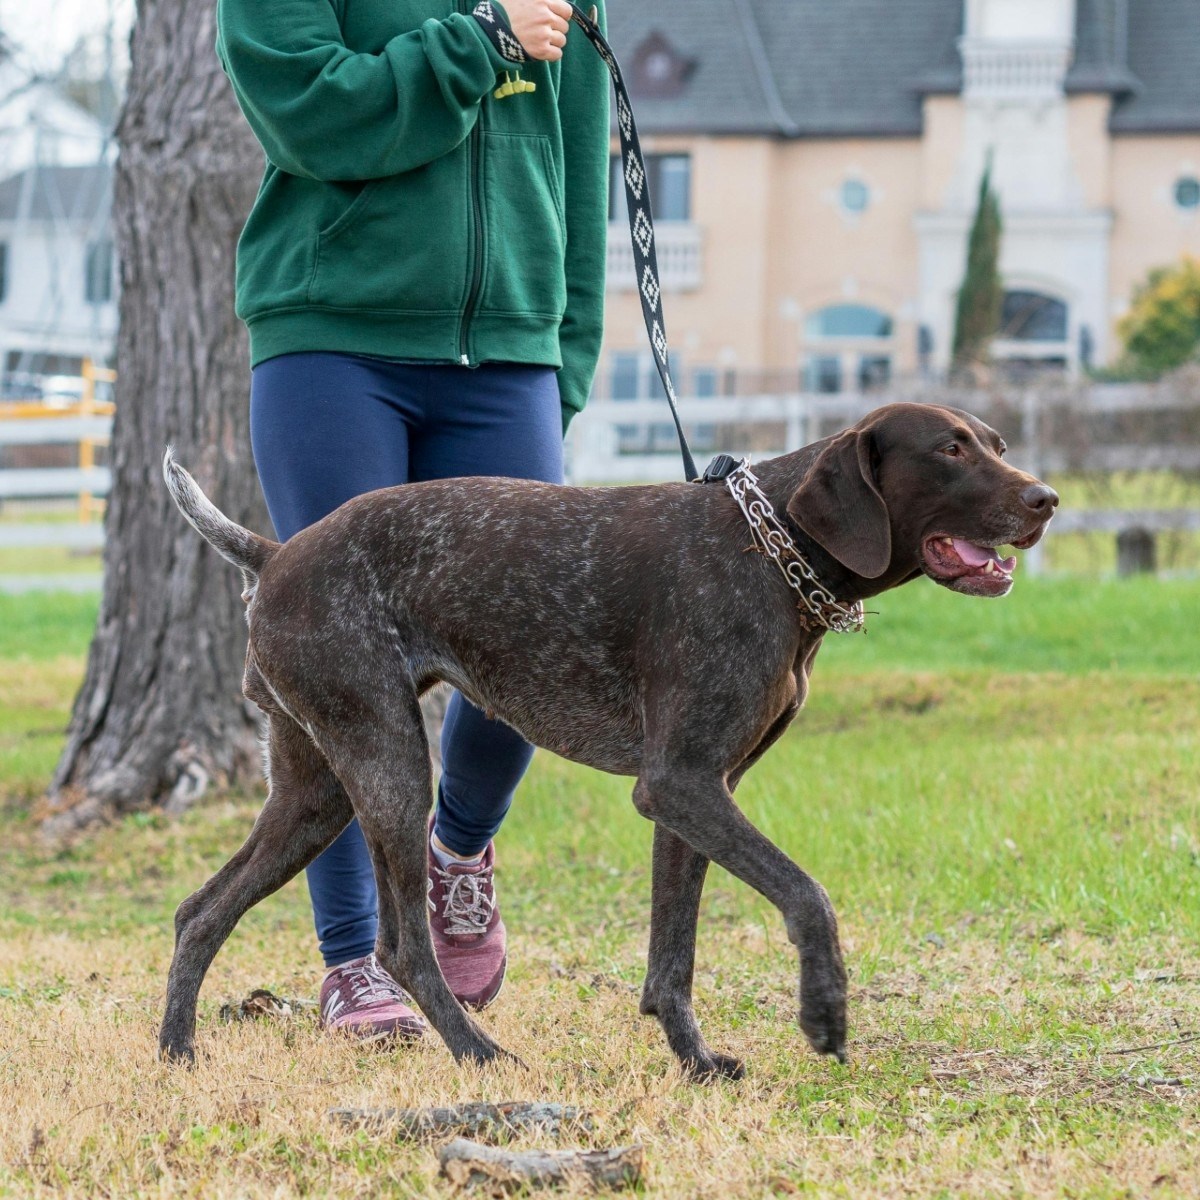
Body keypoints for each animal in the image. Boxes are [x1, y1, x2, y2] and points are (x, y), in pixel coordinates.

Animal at [159, 403, 1060, 1080]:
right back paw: (480, 1054)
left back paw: (176, 1053)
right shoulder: (681, 785)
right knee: (405, 946)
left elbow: (674, 958)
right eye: (949, 448)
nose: (1047, 499)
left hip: (314, 793)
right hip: (389, 766)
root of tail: (276, 553)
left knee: (200, 910)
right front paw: (824, 1011)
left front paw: (696, 1063)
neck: (774, 552)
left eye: (998, 444)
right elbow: (808, 895)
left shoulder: (696, 796)